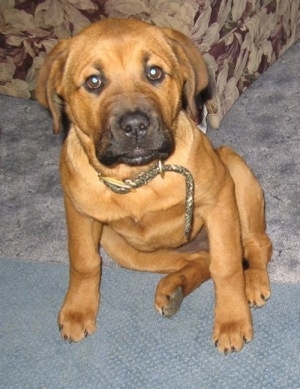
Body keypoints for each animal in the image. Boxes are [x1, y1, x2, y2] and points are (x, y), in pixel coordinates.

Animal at [37, 18, 272, 354]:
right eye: (94, 81)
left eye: (154, 73)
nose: (135, 126)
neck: (138, 178)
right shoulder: (79, 212)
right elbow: (84, 261)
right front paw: (78, 311)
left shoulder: (219, 200)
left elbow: (226, 266)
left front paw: (232, 321)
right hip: (123, 247)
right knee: (201, 259)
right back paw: (174, 287)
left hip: (234, 170)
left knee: (254, 244)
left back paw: (253, 281)